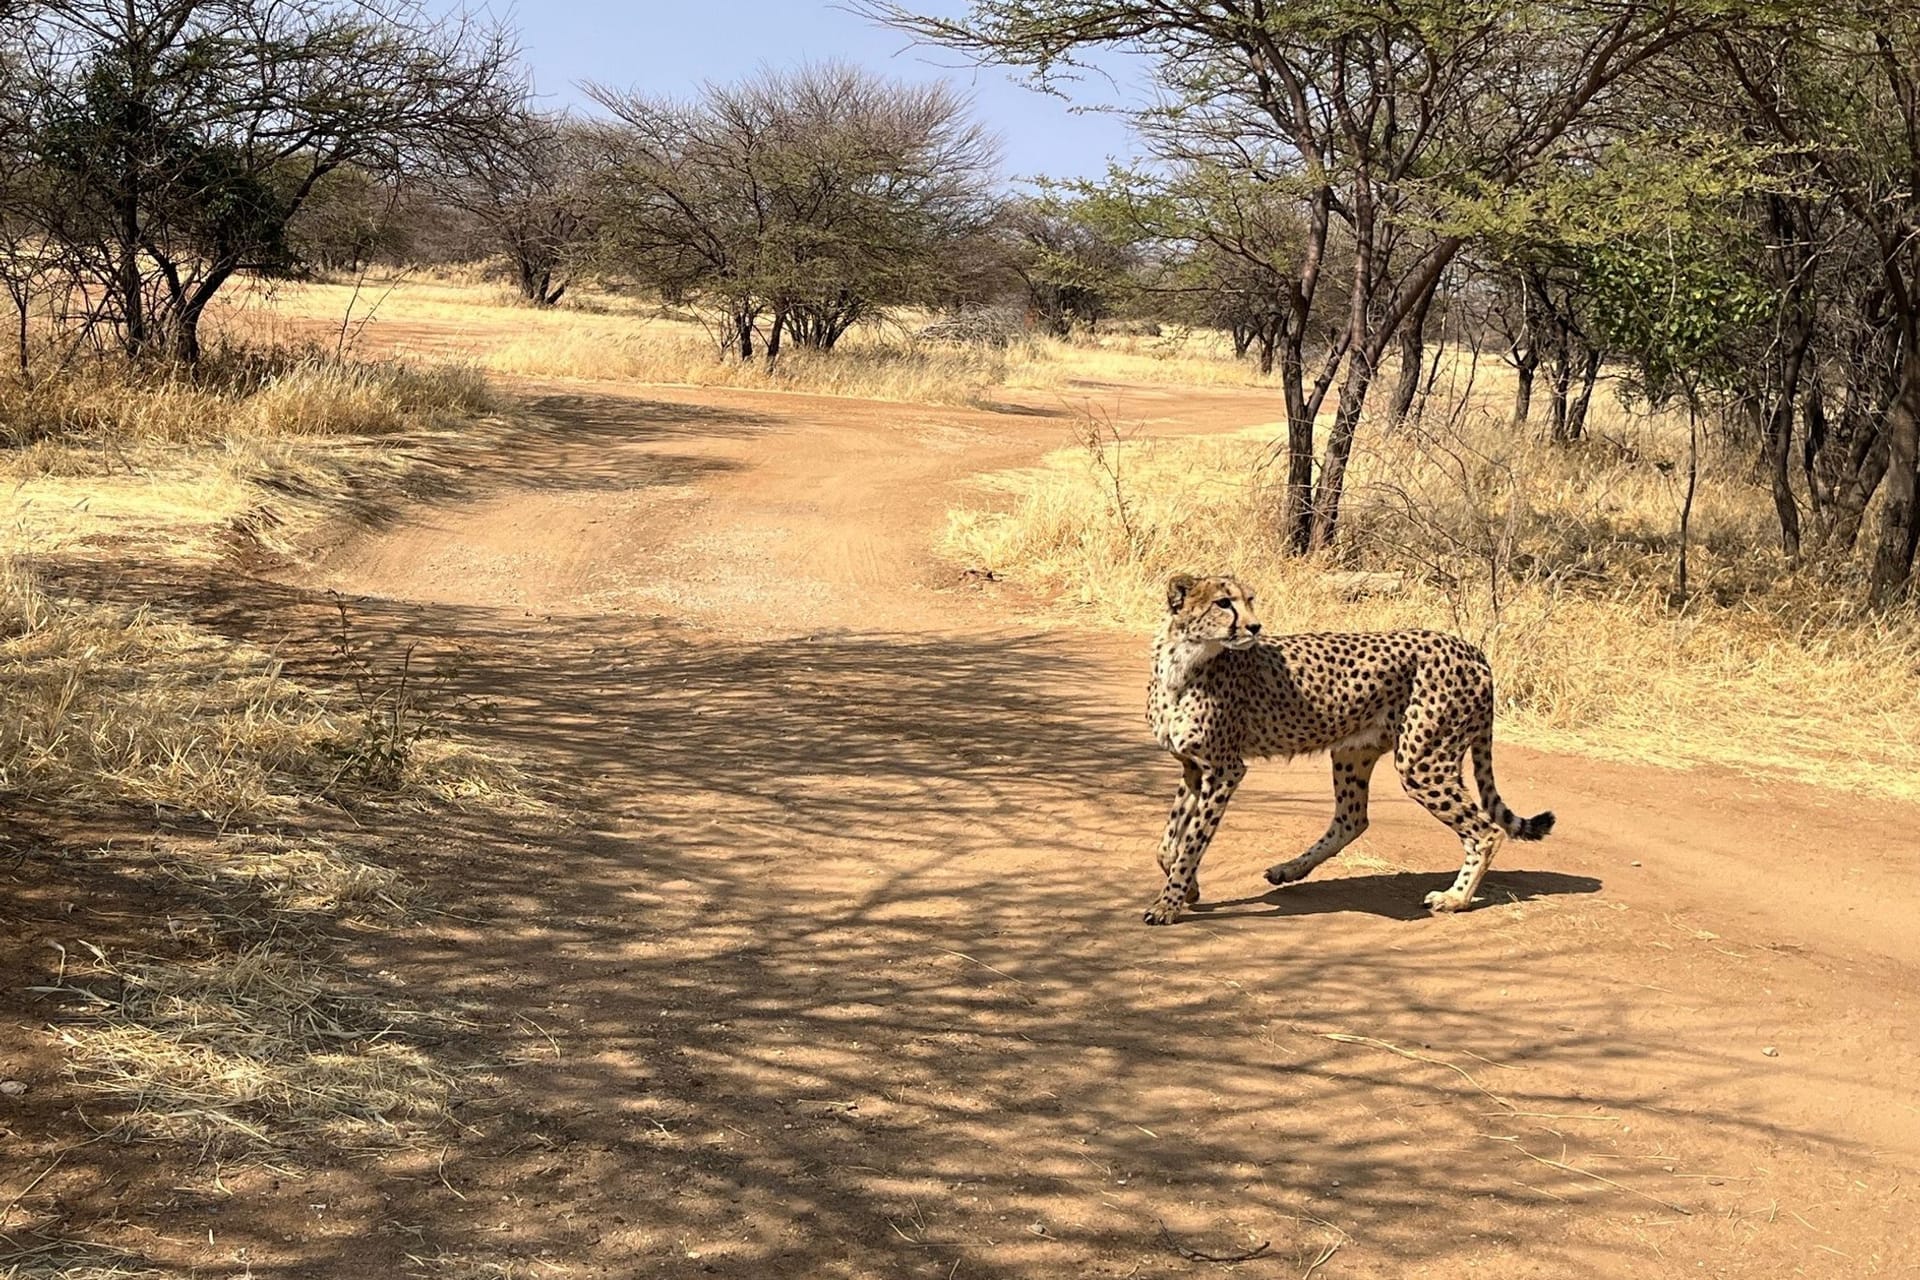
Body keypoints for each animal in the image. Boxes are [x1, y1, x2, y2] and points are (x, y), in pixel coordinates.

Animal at [1144, 575, 1551, 924]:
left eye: (1249, 600)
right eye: (1223, 602)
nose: (1255, 627)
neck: (1184, 661)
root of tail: (1469, 648)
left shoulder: (1225, 770)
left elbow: (1193, 840)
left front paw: (1168, 904)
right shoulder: (1194, 767)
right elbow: (1169, 841)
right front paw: (1188, 887)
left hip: (1422, 763)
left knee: (1486, 830)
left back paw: (1455, 898)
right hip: (1354, 753)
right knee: (1352, 818)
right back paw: (1290, 869)